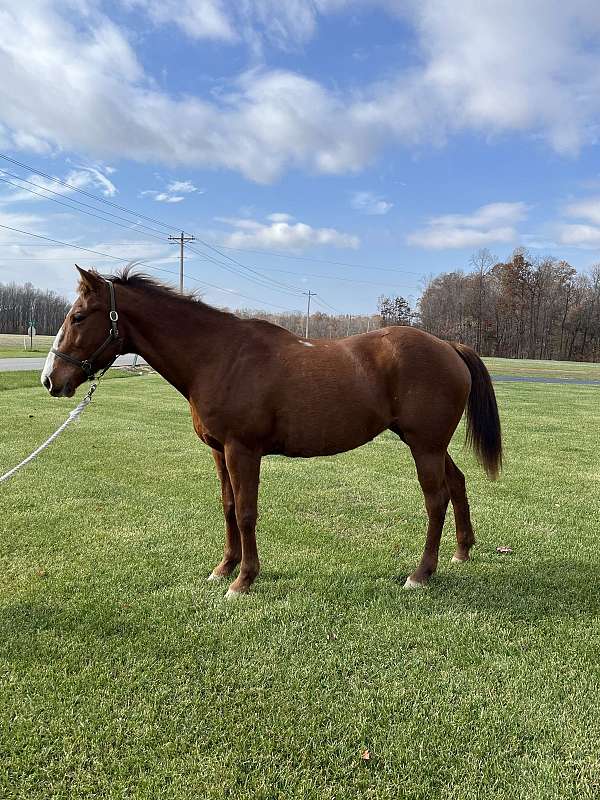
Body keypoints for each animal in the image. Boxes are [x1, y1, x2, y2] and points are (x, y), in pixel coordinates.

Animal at [41, 266, 502, 598]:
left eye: (78, 316)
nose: (50, 379)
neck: (219, 356)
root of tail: (447, 346)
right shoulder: (219, 451)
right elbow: (228, 507)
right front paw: (224, 567)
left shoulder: (241, 450)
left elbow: (247, 512)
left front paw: (244, 579)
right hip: (429, 444)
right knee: (457, 484)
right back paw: (462, 550)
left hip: (425, 446)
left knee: (436, 500)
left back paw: (421, 573)